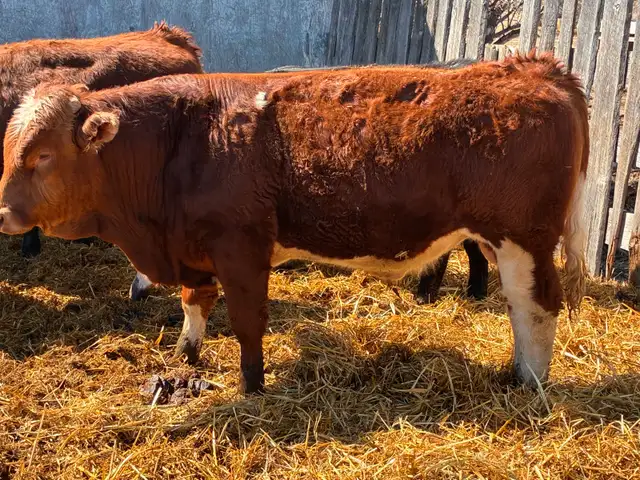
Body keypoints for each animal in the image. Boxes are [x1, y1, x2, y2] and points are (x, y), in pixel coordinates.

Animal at [0, 52, 588, 396]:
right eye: (10, 149)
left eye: (43, 156)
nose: (3, 213)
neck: (180, 140)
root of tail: (535, 68)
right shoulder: (193, 246)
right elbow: (194, 303)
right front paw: (186, 354)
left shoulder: (241, 247)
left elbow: (247, 323)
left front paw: (252, 387)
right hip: (497, 240)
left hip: (525, 239)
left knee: (537, 306)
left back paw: (528, 381)